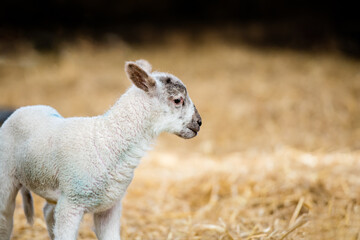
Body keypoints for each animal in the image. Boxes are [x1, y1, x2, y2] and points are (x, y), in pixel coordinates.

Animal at [0, 58, 201, 240]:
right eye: (177, 100)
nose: (199, 123)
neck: (107, 139)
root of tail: (26, 108)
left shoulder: (110, 205)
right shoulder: (71, 204)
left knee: (48, 211)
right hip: (6, 178)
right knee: (5, 220)